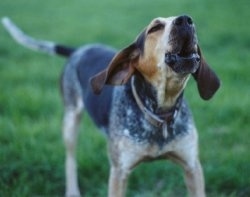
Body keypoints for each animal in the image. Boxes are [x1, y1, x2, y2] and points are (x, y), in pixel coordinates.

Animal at [2, 14, 221, 196]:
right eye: (155, 28)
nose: (185, 20)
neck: (160, 111)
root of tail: (79, 50)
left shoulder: (192, 167)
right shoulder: (119, 173)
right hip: (71, 121)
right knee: (70, 160)